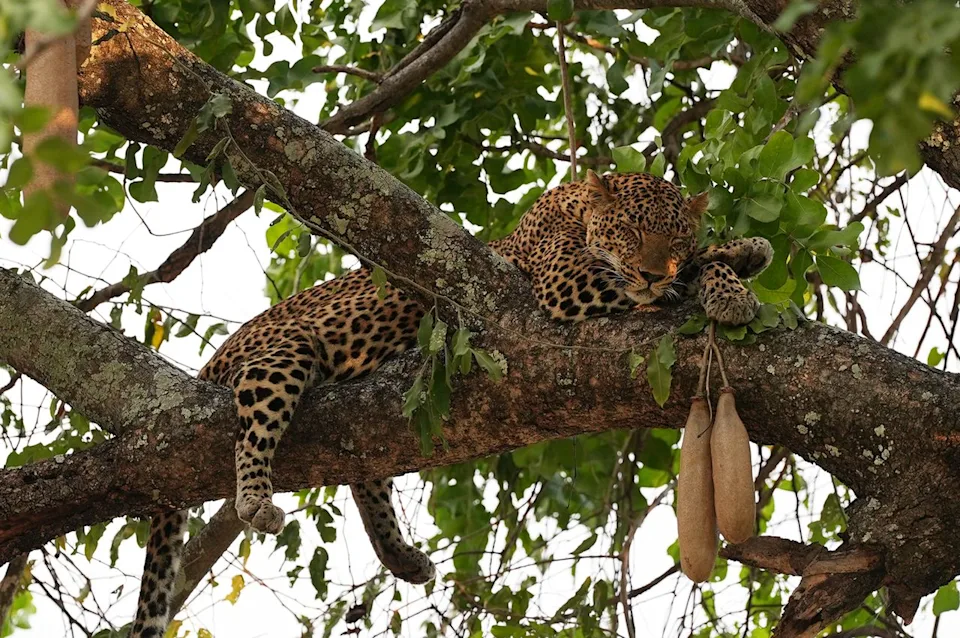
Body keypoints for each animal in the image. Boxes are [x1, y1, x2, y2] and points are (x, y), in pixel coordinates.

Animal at [129, 171, 772, 637]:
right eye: (633, 232)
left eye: (674, 235)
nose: (650, 271)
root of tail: (216, 356)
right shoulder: (566, 282)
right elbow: (689, 274)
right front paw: (732, 274)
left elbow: (701, 262)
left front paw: (741, 260)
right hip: (282, 352)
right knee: (256, 427)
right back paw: (257, 500)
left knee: (364, 475)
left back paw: (403, 559)